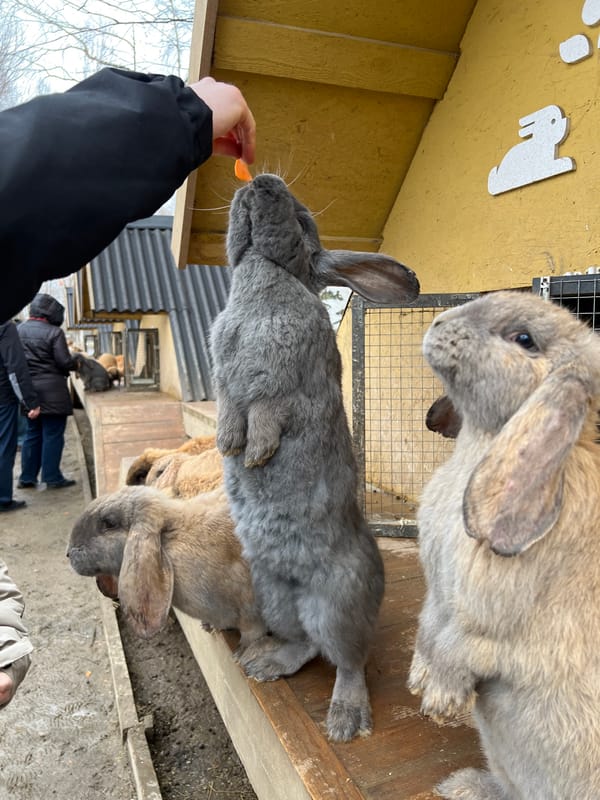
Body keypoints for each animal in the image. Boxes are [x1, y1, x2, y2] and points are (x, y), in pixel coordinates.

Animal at [67, 485, 266, 649]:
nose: (69, 553)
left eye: (109, 523)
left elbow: (252, 633)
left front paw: (243, 650)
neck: (170, 535)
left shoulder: (249, 615)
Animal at [210, 173, 420, 742]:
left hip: (339, 604)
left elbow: (267, 409)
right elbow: (230, 408)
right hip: (272, 595)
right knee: (304, 644)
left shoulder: (287, 384)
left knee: (348, 660)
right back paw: (265, 664)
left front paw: (255, 451)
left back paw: (346, 720)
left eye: (303, 220)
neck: (264, 276)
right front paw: (228, 443)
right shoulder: (226, 384)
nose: (259, 182)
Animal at [407, 290, 600, 799]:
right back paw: (462, 786)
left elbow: (463, 647)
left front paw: (439, 698)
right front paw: (418, 678)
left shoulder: (502, 629)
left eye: (524, 339)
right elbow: (428, 626)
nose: (436, 324)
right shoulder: (437, 593)